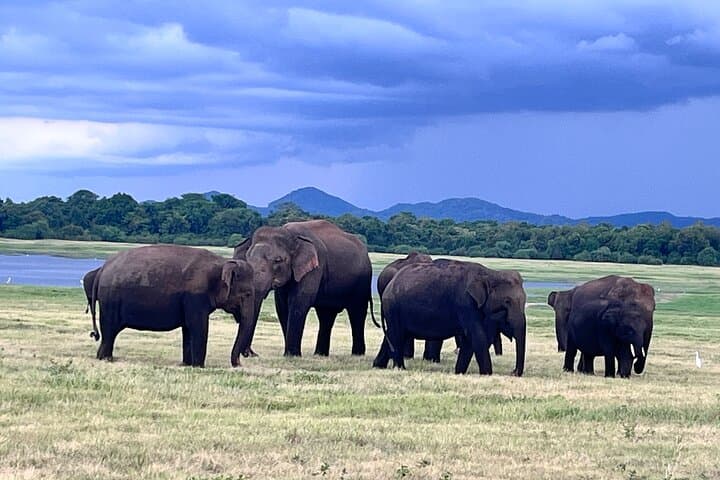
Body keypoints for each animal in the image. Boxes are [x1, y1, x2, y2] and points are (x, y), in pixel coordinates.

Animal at [90, 245, 255, 367]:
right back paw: (106, 359)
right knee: (109, 331)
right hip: (110, 301)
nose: (239, 363)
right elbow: (199, 326)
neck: (222, 263)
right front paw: (199, 366)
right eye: (247, 294)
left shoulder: (190, 301)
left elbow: (188, 328)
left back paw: (104, 358)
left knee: (109, 333)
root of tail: (102, 269)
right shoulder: (195, 297)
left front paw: (187, 365)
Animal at [233, 219, 374, 357]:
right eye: (247, 258)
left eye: (278, 260)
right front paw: (290, 355)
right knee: (326, 315)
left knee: (357, 312)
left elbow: (298, 302)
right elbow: (282, 306)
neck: (289, 233)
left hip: (362, 281)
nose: (251, 354)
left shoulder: (314, 267)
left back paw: (357, 354)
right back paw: (320, 355)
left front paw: (292, 355)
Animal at [373, 259, 526, 376]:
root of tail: (390, 284)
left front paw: (459, 372)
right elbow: (477, 337)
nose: (513, 372)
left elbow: (469, 341)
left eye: (524, 301)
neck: (490, 273)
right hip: (393, 307)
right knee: (397, 335)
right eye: (507, 302)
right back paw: (400, 368)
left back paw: (378, 366)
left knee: (393, 334)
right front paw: (487, 374)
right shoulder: (465, 304)